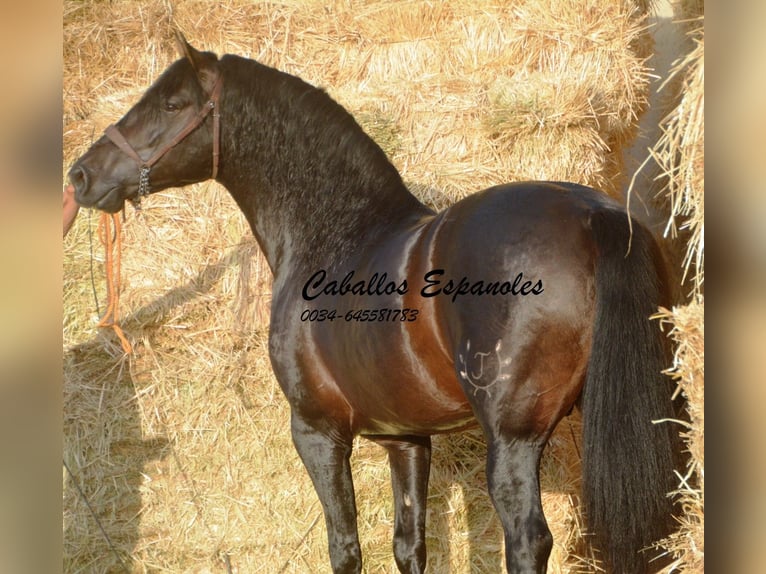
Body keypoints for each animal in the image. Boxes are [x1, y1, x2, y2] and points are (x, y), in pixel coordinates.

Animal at [70, 36, 684, 574]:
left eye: (172, 104)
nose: (82, 174)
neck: (337, 232)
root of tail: (594, 214)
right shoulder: (404, 438)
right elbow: (408, 544)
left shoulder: (317, 432)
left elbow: (345, 546)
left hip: (513, 438)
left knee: (527, 539)